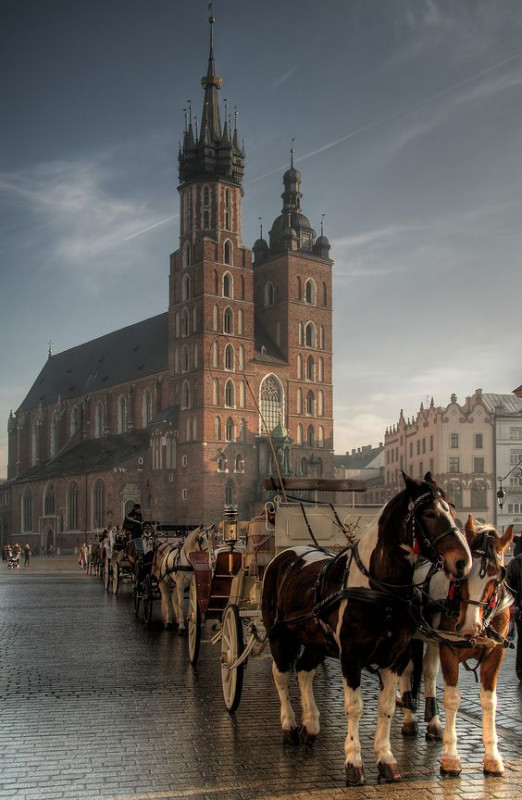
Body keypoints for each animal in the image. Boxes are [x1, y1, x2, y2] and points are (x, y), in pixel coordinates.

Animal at [262, 472, 470, 784]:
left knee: (304, 672)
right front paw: (353, 761)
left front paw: (385, 758)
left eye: (453, 509)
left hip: (315, 640)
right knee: (282, 675)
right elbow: (355, 707)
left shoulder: (395, 657)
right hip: (279, 635)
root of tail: (287, 554)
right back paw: (289, 725)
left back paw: (310, 724)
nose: (463, 562)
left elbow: (386, 707)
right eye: (430, 513)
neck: (380, 589)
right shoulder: (351, 656)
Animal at [400, 512, 510, 776]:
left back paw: (433, 725)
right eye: (462, 574)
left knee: (428, 673)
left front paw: (493, 758)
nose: (469, 627)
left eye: (497, 576)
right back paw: (409, 719)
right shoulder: (449, 649)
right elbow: (452, 699)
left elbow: (489, 702)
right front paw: (450, 758)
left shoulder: (494, 655)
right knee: (406, 672)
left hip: (432, 639)